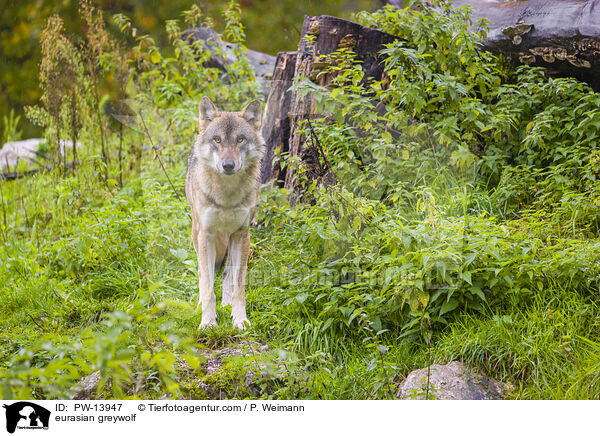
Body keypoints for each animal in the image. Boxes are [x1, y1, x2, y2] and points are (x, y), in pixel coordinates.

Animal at [186, 97, 264, 330]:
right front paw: (207, 322)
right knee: (204, 273)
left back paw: (227, 305)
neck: (227, 196)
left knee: (228, 273)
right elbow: (207, 284)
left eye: (240, 139)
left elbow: (238, 286)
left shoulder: (242, 234)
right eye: (217, 140)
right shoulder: (206, 235)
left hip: (233, 240)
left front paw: (240, 320)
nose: (228, 165)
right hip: (196, 233)